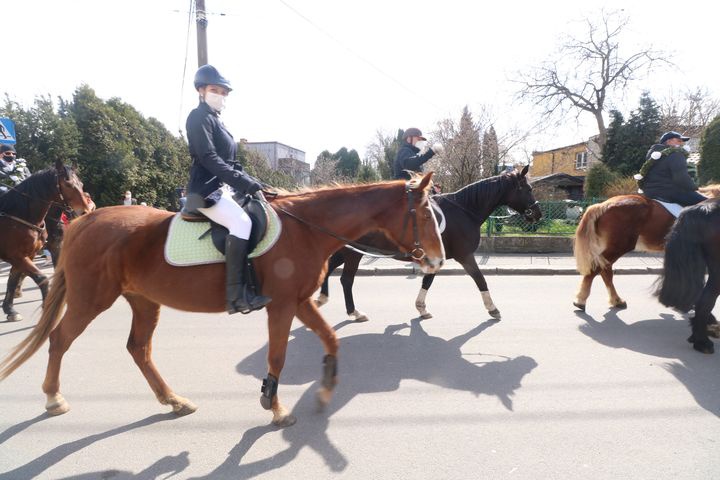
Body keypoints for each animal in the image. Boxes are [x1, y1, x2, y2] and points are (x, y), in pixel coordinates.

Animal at [0, 161, 90, 322]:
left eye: (81, 184)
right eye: (67, 184)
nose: (85, 212)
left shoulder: (28, 254)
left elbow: (13, 279)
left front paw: (10, 309)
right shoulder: (16, 256)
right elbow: (41, 278)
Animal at [316, 166, 540, 322]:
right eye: (528, 188)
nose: (538, 213)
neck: (464, 210)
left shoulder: (436, 257)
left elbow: (428, 281)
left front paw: (421, 308)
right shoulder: (464, 256)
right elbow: (480, 279)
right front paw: (492, 308)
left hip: (348, 249)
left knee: (329, 267)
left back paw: (322, 298)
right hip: (353, 252)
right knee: (346, 279)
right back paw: (354, 312)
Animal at [572, 189, 716, 314]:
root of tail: (603, 205)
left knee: (605, 270)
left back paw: (616, 301)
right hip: (620, 246)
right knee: (599, 268)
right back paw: (582, 300)